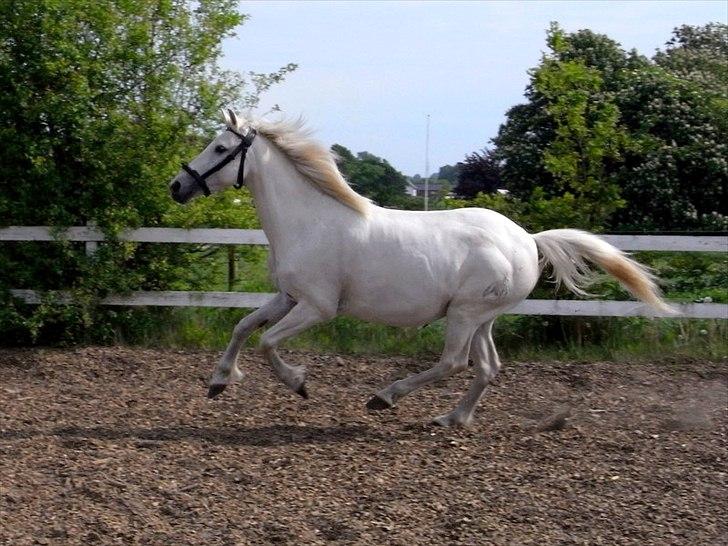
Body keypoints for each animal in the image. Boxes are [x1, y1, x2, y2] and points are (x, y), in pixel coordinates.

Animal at [168, 109, 672, 424]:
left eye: (219, 149)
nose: (177, 186)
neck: (309, 220)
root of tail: (528, 240)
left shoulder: (317, 307)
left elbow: (268, 342)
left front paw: (298, 384)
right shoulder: (288, 296)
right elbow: (242, 327)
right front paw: (219, 381)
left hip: (464, 314)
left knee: (453, 362)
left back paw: (384, 398)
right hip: (483, 318)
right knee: (487, 367)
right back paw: (453, 418)